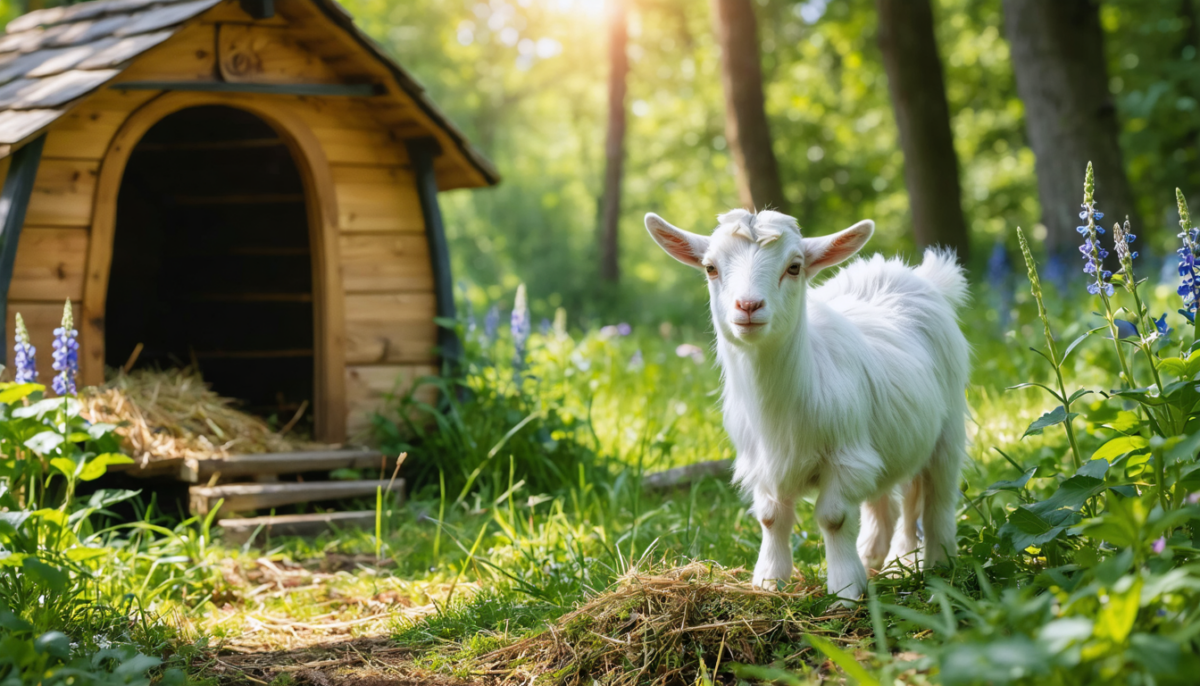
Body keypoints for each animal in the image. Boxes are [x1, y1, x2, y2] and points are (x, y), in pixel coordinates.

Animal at [644, 209, 969, 601]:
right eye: (710, 268)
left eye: (794, 267)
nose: (748, 306)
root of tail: (919, 276)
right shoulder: (763, 463)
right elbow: (771, 518)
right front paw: (769, 582)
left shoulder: (845, 459)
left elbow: (833, 517)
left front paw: (844, 590)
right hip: (890, 442)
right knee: (891, 503)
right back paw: (885, 563)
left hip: (947, 431)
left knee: (937, 500)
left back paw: (938, 567)